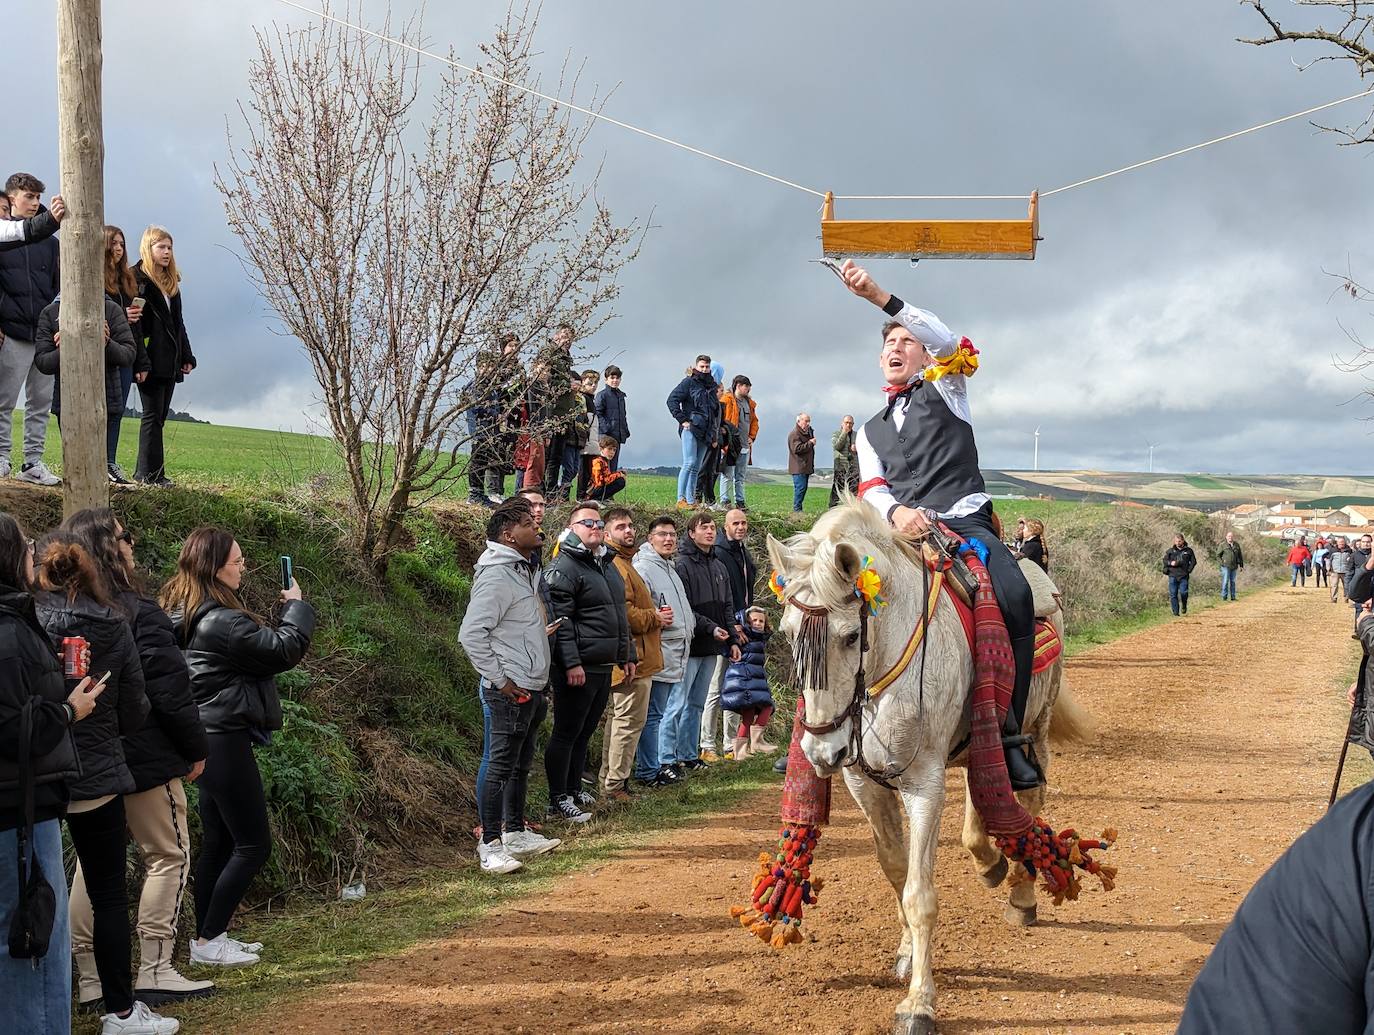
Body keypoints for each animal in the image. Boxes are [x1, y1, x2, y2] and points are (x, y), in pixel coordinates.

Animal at [769, 500, 1088, 1033]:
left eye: (851, 635)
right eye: (789, 633)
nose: (820, 752)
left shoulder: (924, 785)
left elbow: (919, 895)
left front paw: (919, 1002)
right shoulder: (866, 784)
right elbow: (897, 873)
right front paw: (904, 956)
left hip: (1035, 729)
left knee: (1026, 801)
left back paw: (1021, 895)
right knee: (981, 801)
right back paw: (991, 863)